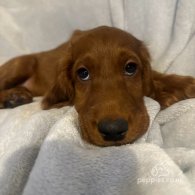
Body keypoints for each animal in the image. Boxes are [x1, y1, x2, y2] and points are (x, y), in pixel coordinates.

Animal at [0, 25, 195, 145]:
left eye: (130, 68)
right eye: (83, 73)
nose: (113, 130)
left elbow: (155, 76)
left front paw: (183, 85)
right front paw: (164, 94)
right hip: (21, 64)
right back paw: (11, 98)